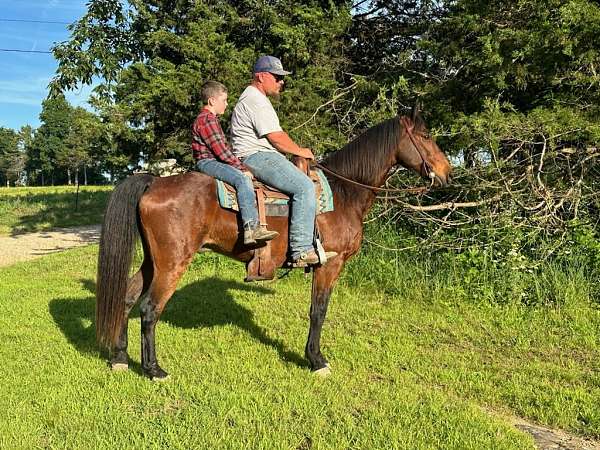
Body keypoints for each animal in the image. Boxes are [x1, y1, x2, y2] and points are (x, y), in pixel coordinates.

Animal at [96, 106, 450, 380]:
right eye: (426, 136)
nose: (447, 172)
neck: (344, 192)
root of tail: (154, 182)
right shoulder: (329, 263)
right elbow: (318, 311)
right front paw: (316, 360)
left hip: (152, 261)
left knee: (126, 299)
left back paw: (120, 359)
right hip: (172, 263)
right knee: (150, 309)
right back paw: (154, 369)